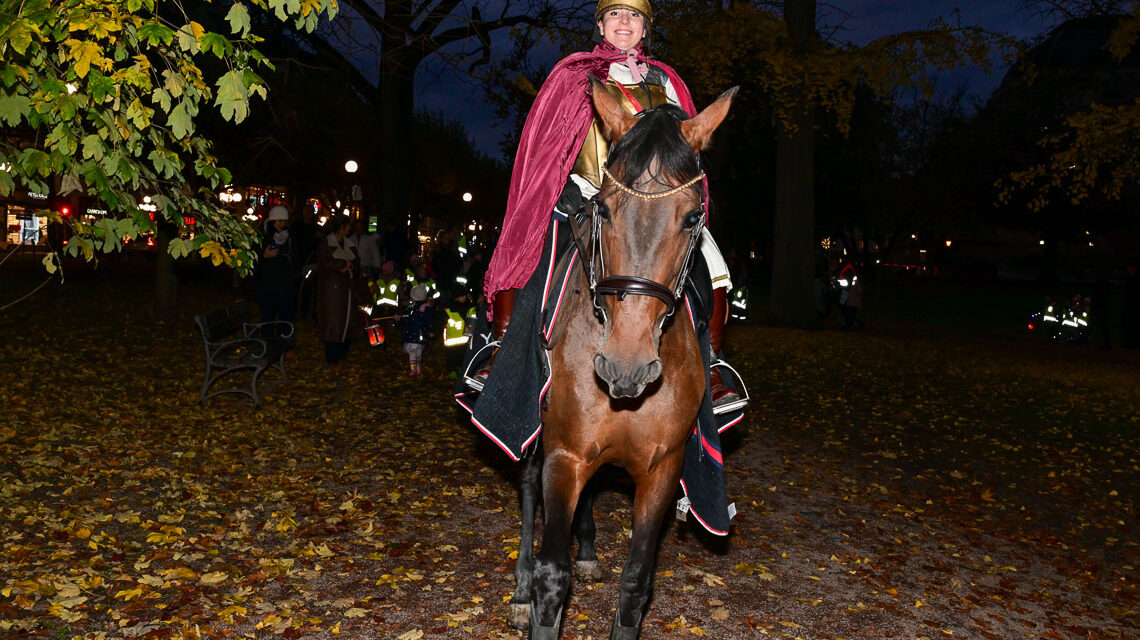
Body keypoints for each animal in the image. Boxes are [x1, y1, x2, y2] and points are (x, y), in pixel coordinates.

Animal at [510, 80, 738, 638]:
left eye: (693, 217)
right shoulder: (564, 457)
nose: (626, 367)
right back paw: (520, 587)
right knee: (526, 490)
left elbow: (636, 583)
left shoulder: (661, 469)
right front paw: (535, 593)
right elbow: (553, 577)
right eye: (605, 209)